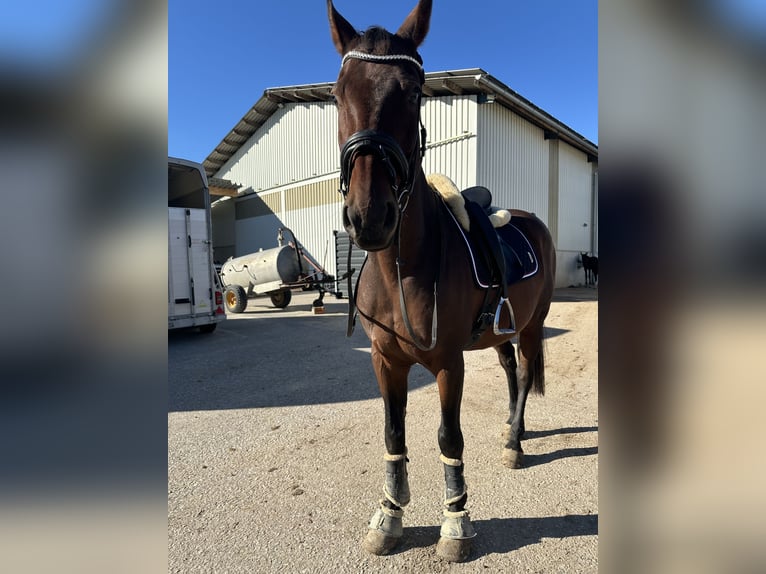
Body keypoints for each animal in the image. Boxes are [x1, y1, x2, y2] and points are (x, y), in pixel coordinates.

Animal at [328, 0, 556, 564]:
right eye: (337, 94)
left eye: (413, 92)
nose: (370, 216)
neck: (404, 268)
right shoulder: (386, 361)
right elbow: (394, 433)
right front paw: (389, 514)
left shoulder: (449, 363)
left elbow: (448, 438)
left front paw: (456, 523)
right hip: (500, 330)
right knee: (511, 371)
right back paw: (512, 429)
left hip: (533, 325)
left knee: (525, 371)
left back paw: (514, 442)